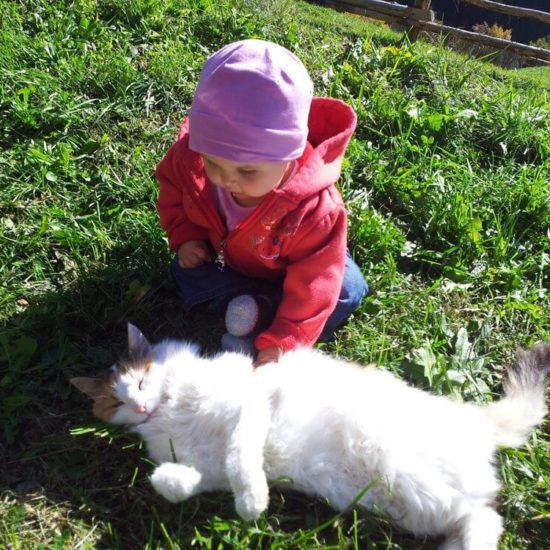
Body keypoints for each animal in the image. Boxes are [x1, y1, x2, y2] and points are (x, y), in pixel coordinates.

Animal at [71, 326, 548, 548]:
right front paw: (174, 480)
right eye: (114, 401)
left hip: (415, 475)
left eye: (141, 382)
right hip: (427, 504)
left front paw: (252, 505)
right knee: (481, 520)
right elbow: (179, 484)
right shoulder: (208, 464)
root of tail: (478, 420)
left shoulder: (256, 403)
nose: (138, 407)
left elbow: (241, 458)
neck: (172, 410)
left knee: (487, 518)